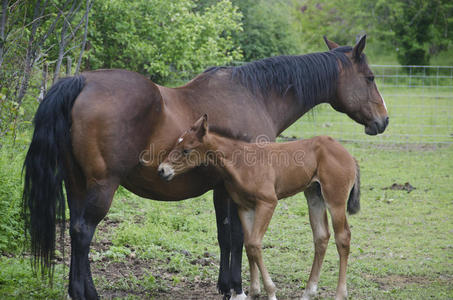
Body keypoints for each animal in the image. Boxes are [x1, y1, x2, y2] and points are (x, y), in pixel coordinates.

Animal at [159, 113, 360, 298]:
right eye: (176, 144)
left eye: (186, 150)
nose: (162, 170)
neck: (241, 162)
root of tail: (349, 156)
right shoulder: (245, 207)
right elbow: (249, 245)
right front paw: (254, 291)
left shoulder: (268, 202)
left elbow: (255, 243)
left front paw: (270, 291)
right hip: (314, 196)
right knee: (321, 237)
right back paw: (308, 292)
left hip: (335, 200)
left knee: (343, 237)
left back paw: (340, 294)